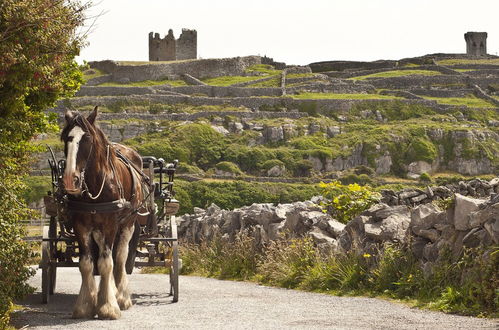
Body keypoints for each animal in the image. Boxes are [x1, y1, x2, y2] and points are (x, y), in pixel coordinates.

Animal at [59, 107, 147, 318]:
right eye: (65, 137)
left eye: (87, 138)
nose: (70, 180)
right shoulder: (80, 224)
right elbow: (86, 264)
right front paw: (85, 304)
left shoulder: (110, 223)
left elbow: (108, 263)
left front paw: (108, 307)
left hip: (127, 224)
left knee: (120, 256)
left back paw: (121, 296)